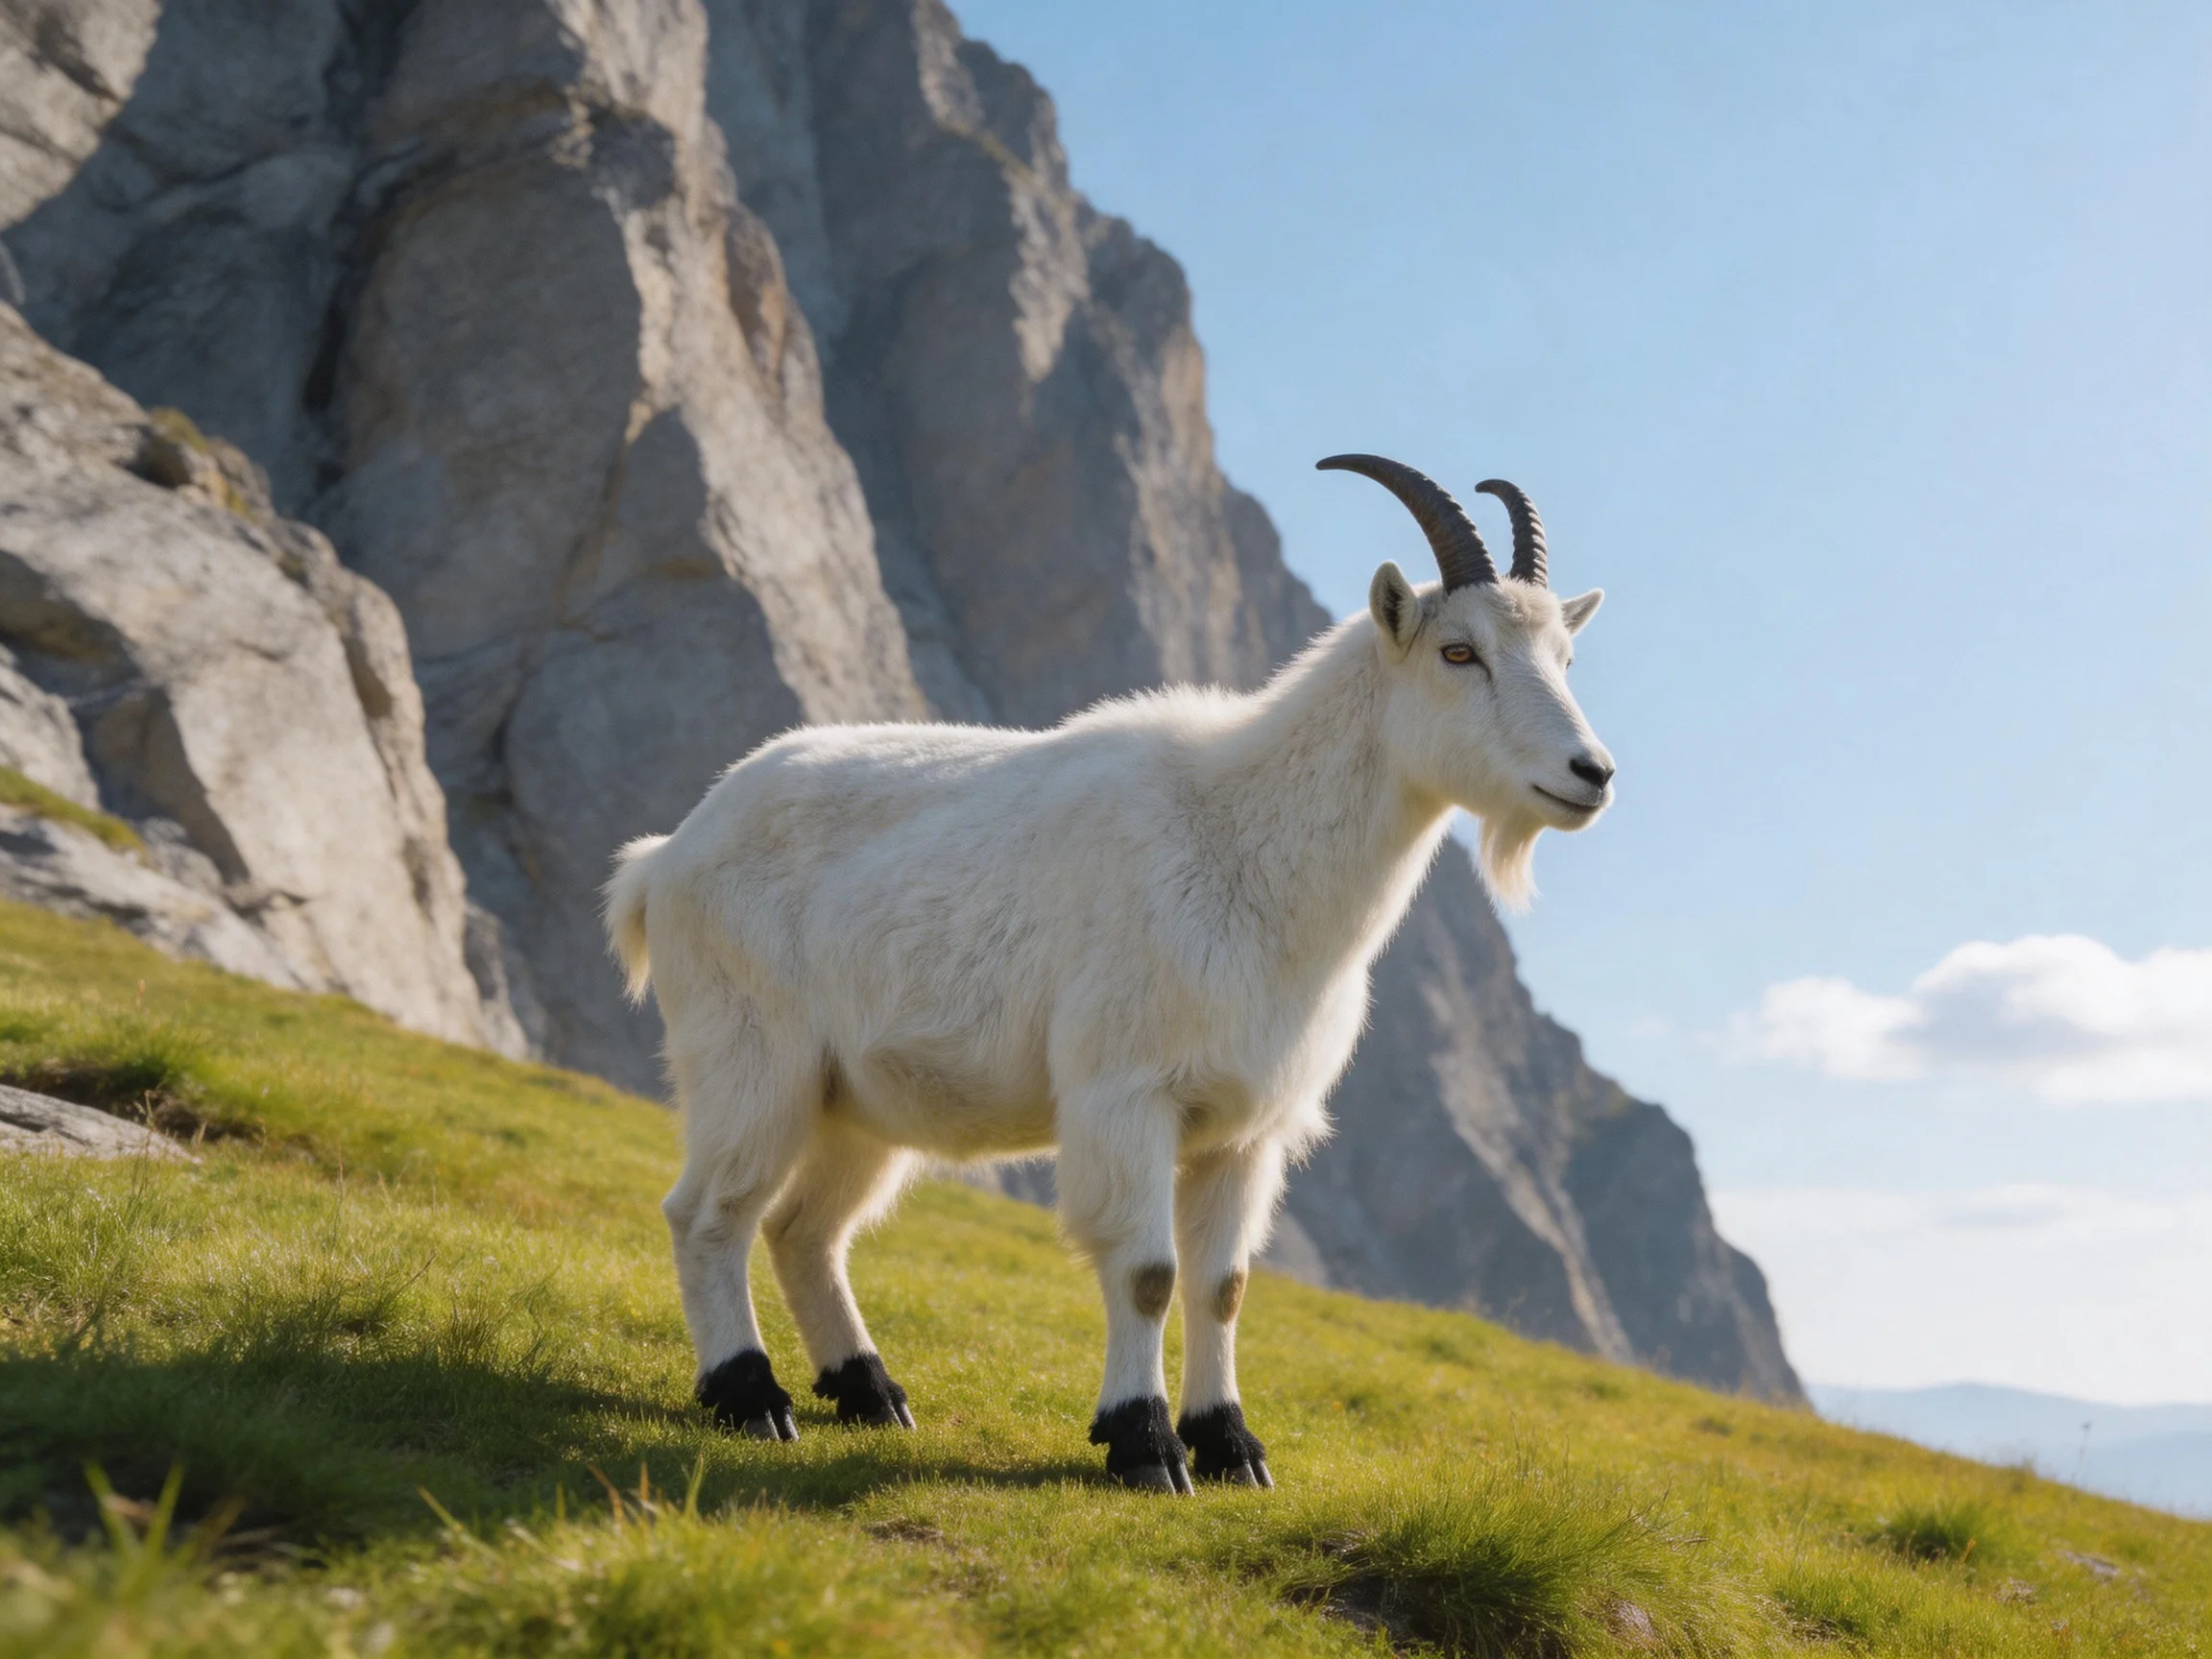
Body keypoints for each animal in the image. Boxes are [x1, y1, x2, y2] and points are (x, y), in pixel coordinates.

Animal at [605, 457, 1614, 1491]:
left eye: (1565, 658)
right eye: (1459, 651)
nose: (1591, 774)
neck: (1244, 846)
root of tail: (666, 856)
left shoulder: (1245, 1128)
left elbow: (1223, 1284)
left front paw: (1231, 1445)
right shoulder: (1127, 1094)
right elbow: (1147, 1273)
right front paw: (1145, 1444)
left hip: (855, 1102)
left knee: (806, 1229)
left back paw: (871, 1394)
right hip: (750, 1056)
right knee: (709, 1212)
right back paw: (750, 1397)